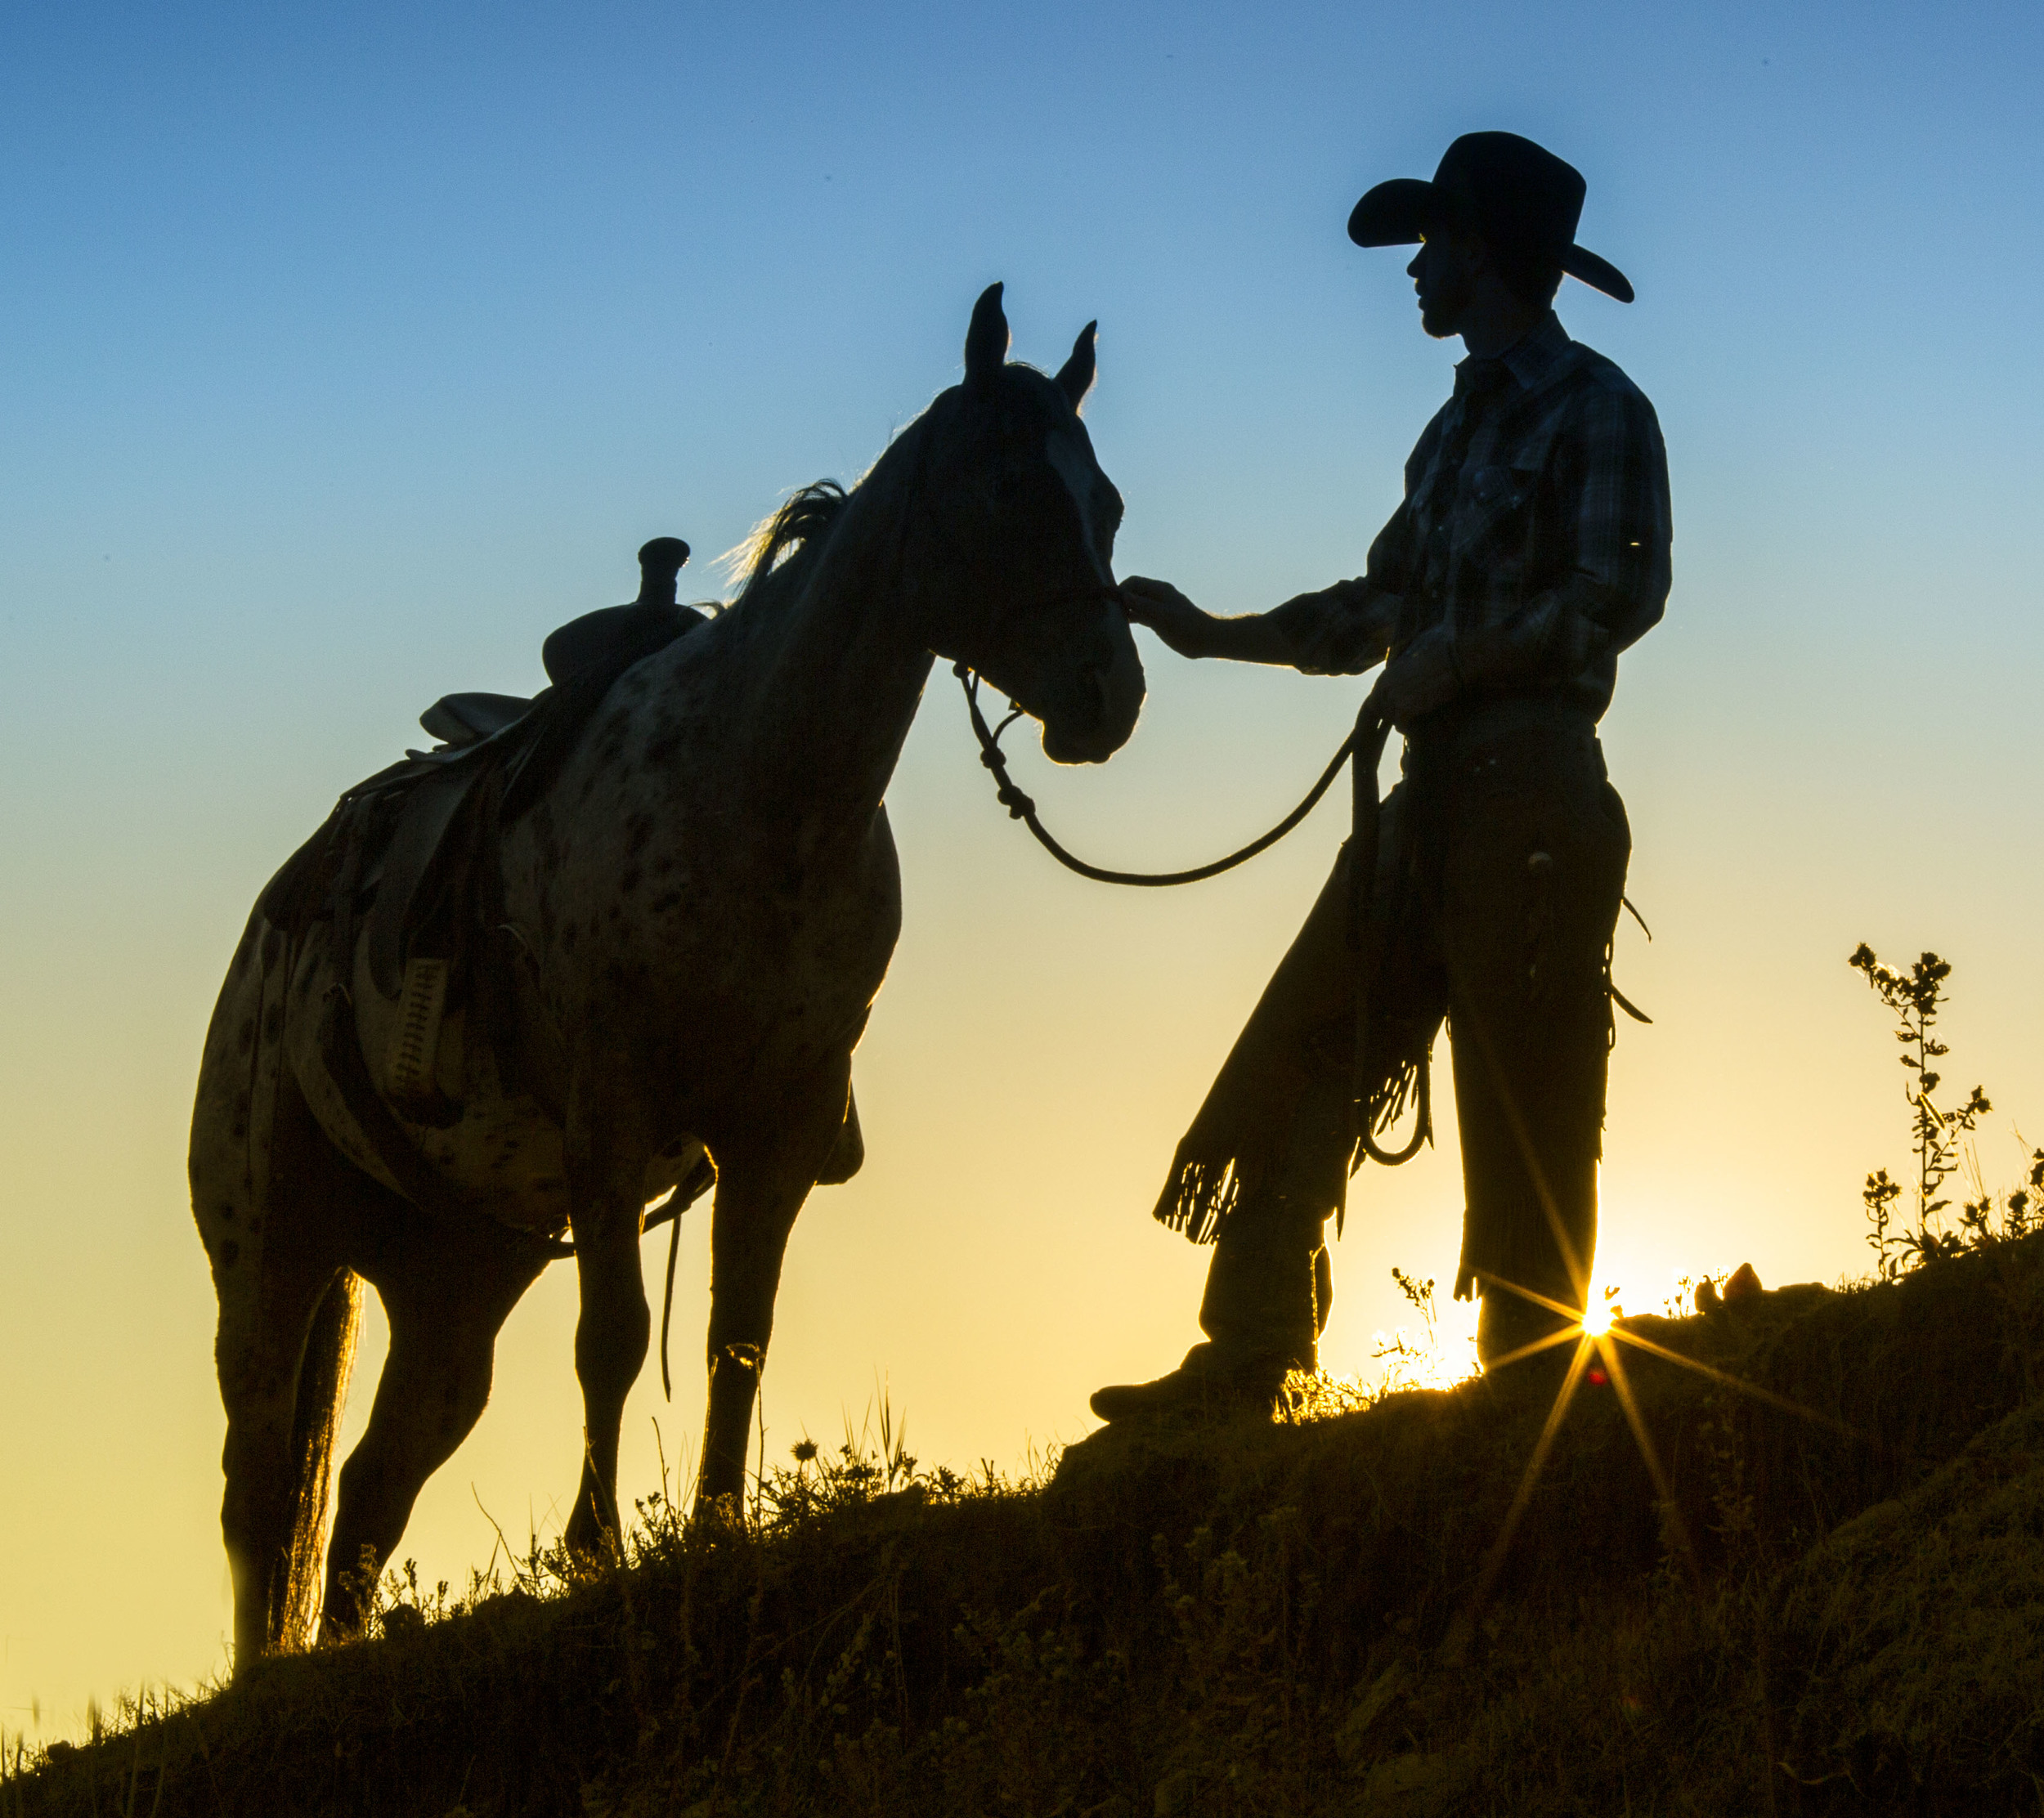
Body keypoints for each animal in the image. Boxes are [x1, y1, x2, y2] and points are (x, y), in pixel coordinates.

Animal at [192, 284, 1145, 1659]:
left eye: (1106, 501)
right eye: (1011, 485)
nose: (1108, 696)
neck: (757, 792)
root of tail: (278, 921)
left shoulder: (780, 1124)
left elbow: (735, 1334)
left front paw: (713, 1529)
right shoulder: (612, 1109)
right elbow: (617, 1338)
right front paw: (596, 1550)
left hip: (453, 1279)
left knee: (370, 1483)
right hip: (270, 1253)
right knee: (262, 1493)